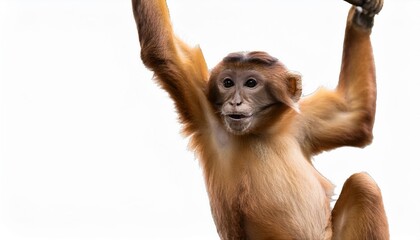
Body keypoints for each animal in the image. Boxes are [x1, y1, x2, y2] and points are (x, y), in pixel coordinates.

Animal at [133, 0, 388, 239]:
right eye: (227, 83)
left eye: (251, 83)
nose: (235, 102)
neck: (260, 131)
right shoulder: (208, 113)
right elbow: (163, 50)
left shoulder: (300, 121)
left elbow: (353, 115)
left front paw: (363, 15)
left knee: (363, 184)